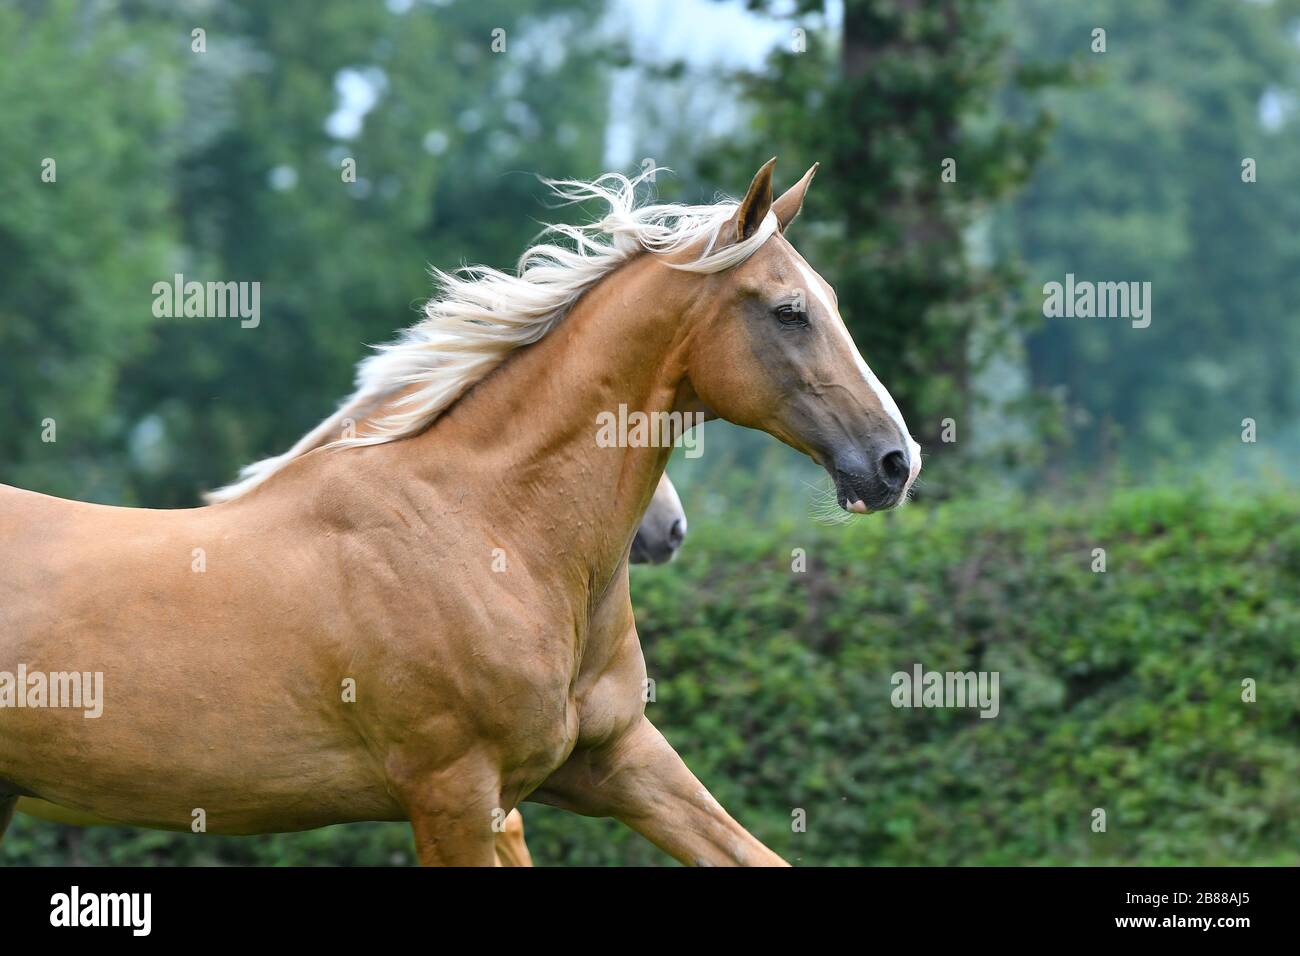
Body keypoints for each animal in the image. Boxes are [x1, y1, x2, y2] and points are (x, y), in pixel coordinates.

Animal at [0, 160, 920, 863]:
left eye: (829, 298)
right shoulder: (455, 795)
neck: (490, 529)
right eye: (789, 311)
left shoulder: (618, 761)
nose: (895, 461)